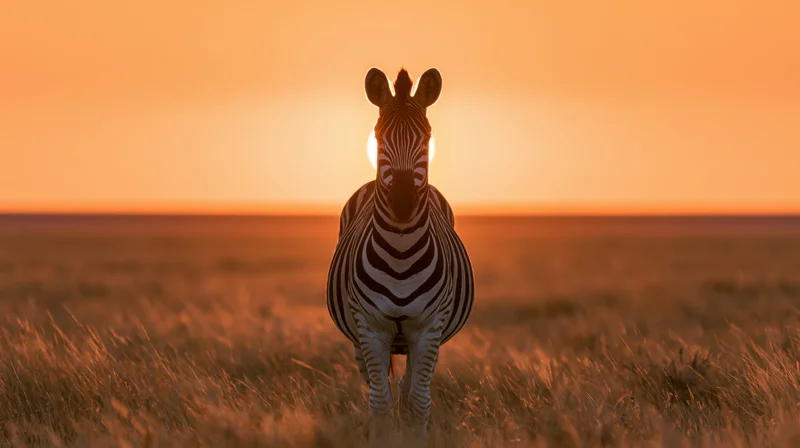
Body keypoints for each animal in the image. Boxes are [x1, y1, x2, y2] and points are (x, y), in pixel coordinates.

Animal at [326, 67, 475, 437]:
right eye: (378, 136)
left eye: (428, 136)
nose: (403, 203)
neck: (401, 251)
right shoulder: (369, 328)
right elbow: (380, 403)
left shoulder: (429, 328)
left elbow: (418, 403)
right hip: (358, 339)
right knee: (379, 386)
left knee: (409, 390)